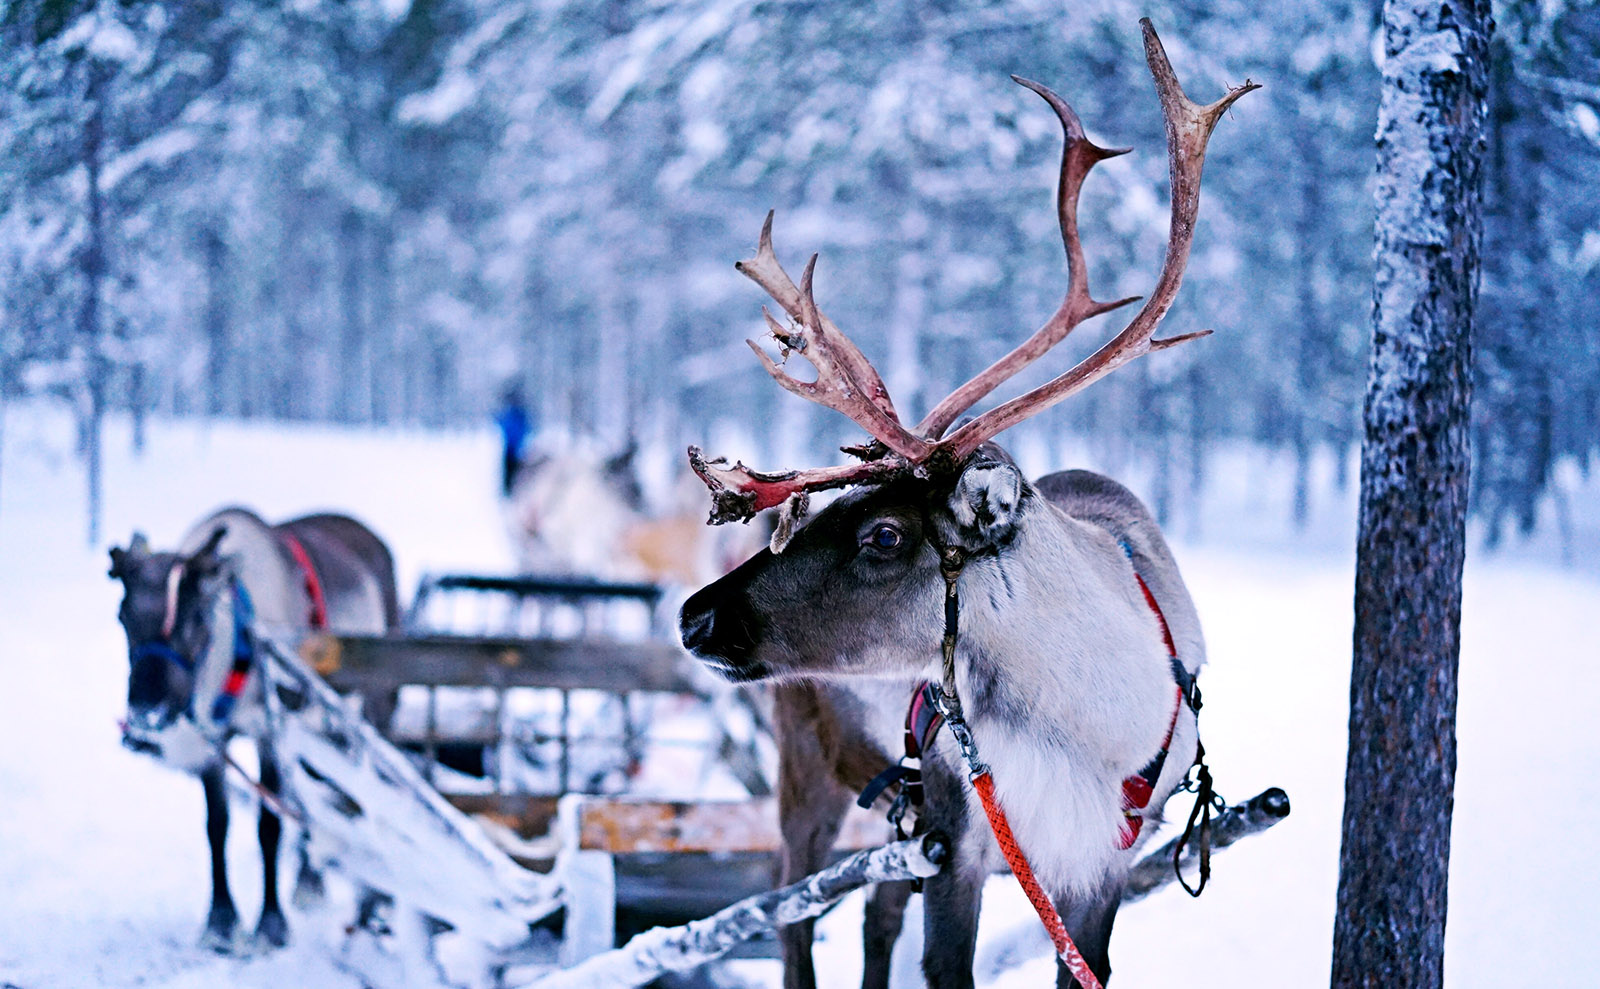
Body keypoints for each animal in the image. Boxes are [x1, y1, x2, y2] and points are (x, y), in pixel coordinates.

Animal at [677, 21, 1255, 989]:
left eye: (882, 533)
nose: (694, 615)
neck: (1085, 728)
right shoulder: (958, 838)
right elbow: (944, 962)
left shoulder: (1099, 861)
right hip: (809, 772)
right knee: (792, 909)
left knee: (870, 914)